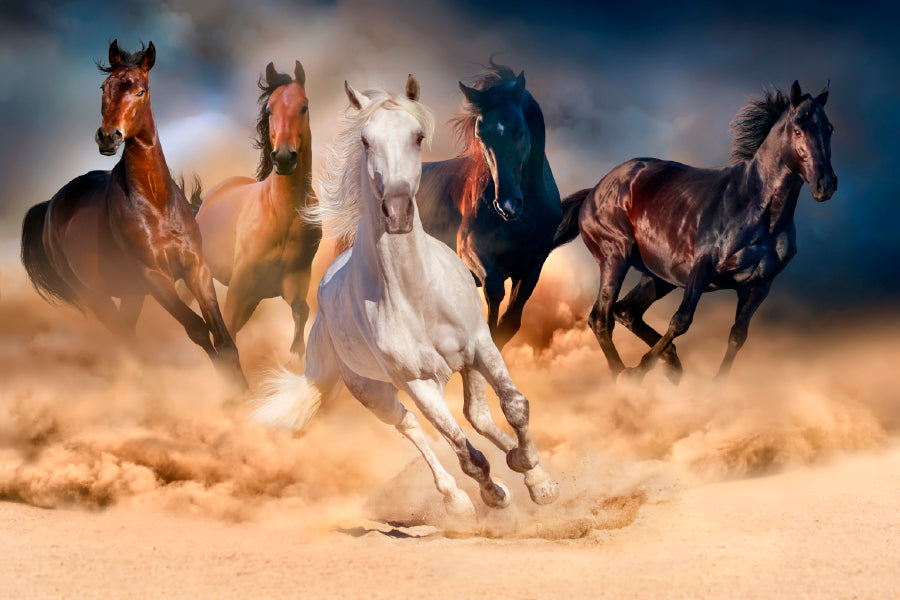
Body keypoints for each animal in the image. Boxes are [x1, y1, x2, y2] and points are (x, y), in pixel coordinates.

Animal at [20, 40, 244, 385]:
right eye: (104, 87)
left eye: (141, 90)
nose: (108, 136)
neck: (156, 203)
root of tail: (50, 206)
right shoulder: (153, 277)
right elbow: (197, 330)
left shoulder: (196, 268)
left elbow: (223, 337)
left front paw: (245, 391)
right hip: (95, 296)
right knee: (125, 339)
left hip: (130, 294)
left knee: (128, 333)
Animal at [194, 61, 319, 356]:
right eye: (269, 109)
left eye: (304, 107)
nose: (284, 157)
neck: (282, 213)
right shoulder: (241, 285)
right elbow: (227, 334)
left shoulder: (293, 281)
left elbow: (301, 313)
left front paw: (295, 357)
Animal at [416, 62, 561, 349]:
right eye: (481, 136)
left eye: (519, 131)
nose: (507, 204)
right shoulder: (471, 249)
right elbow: (494, 294)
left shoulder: (532, 265)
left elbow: (510, 321)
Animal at [553, 81, 837, 381]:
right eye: (798, 129)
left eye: (829, 129)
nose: (826, 184)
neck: (757, 211)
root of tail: (593, 190)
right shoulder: (702, 268)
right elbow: (681, 320)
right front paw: (640, 370)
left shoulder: (760, 285)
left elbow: (738, 335)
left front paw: (714, 385)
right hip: (615, 256)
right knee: (601, 317)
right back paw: (624, 375)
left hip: (658, 276)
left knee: (626, 311)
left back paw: (670, 362)